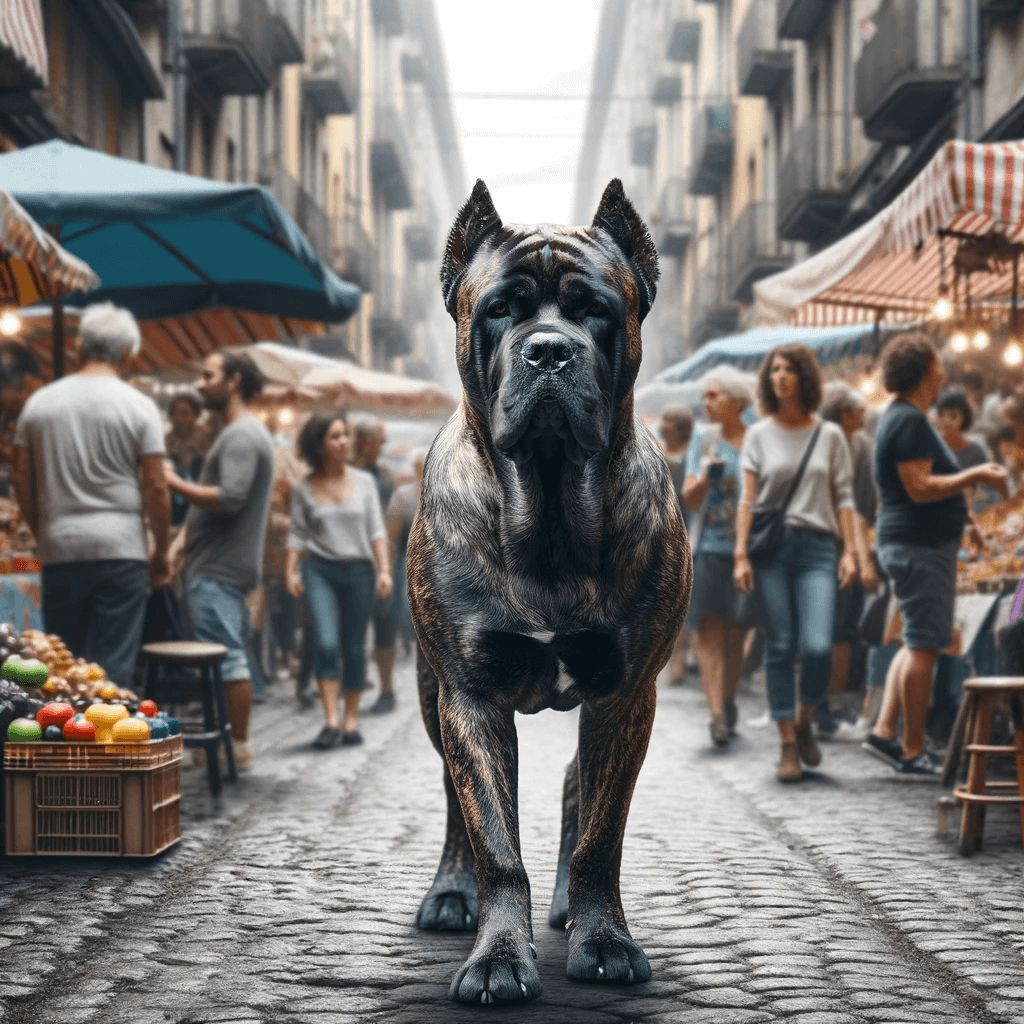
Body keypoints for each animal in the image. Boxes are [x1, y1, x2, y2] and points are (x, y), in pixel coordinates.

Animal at [403, 180, 692, 1003]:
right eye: (501, 308)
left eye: (594, 309)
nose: (550, 350)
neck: (553, 512)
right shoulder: (469, 695)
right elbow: (494, 840)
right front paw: (499, 957)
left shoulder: (626, 694)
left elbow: (600, 834)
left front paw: (605, 940)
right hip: (433, 696)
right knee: (453, 800)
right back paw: (452, 894)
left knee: (575, 788)